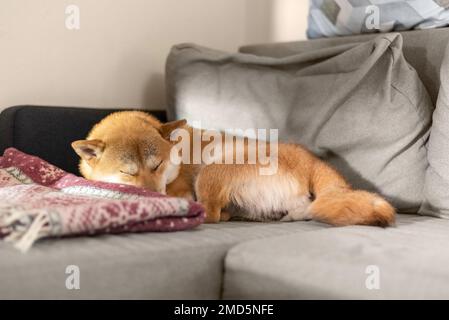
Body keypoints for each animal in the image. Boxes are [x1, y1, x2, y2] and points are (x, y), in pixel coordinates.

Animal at [72, 111, 394, 226]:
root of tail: (312, 162)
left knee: (210, 214)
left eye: (157, 165)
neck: (178, 154)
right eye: (128, 171)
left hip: (213, 171)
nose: (155, 197)